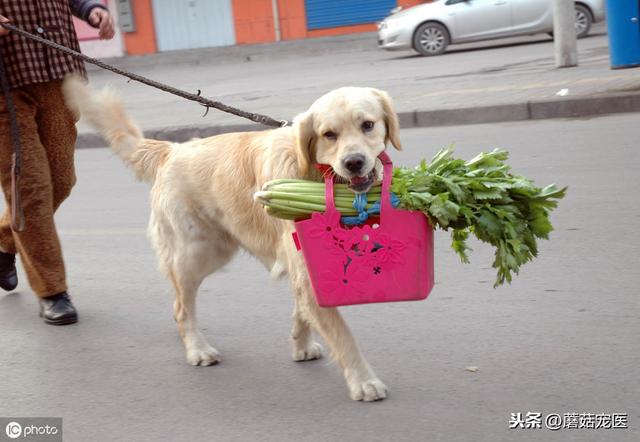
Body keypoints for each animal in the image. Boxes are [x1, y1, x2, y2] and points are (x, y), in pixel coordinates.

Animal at [61, 77, 400, 402]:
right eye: (329, 134)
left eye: (367, 125)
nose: (354, 162)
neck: (318, 177)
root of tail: (171, 150)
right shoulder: (305, 267)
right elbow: (343, 335)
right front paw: (364, 382)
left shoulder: (304, 267)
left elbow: (303, 310)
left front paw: (300, 344)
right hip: (198, 253)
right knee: (182, 306)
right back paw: (197, 348)